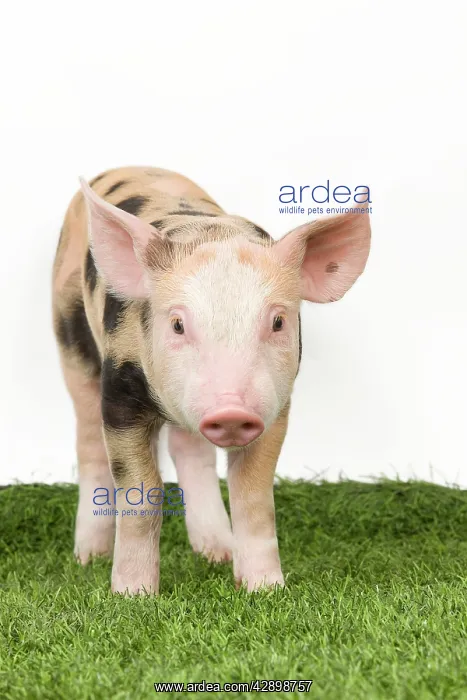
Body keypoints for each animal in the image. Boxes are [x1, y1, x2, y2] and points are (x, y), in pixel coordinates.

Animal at [52, 166, 371, 595]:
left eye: (278, 321)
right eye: (177, 324)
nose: (231, 410)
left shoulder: (275, 407)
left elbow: (253, 494)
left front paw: (266, 590)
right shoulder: (120, 392)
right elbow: (141, 492)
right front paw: (132, 596)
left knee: (190, 451)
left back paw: (216, 552)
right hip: (70, 337)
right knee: (88, 442)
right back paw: (89, 558)